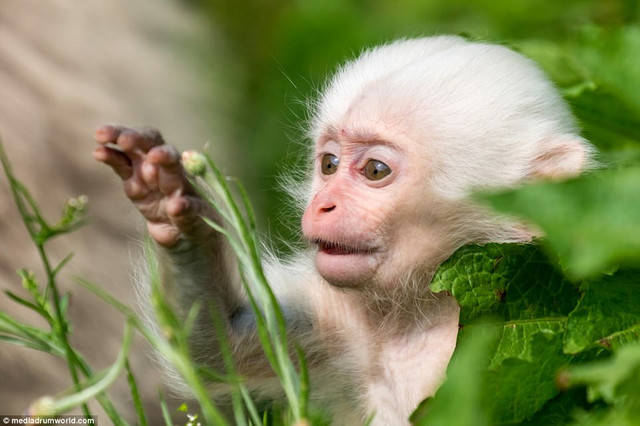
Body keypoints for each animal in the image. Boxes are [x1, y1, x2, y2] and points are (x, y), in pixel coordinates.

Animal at [93, 36, 595, 425]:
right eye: (329, 164)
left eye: (375, 170)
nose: (322, 203)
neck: (426, 311)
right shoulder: (342, 327)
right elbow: (219, 349)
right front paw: (174, 209)